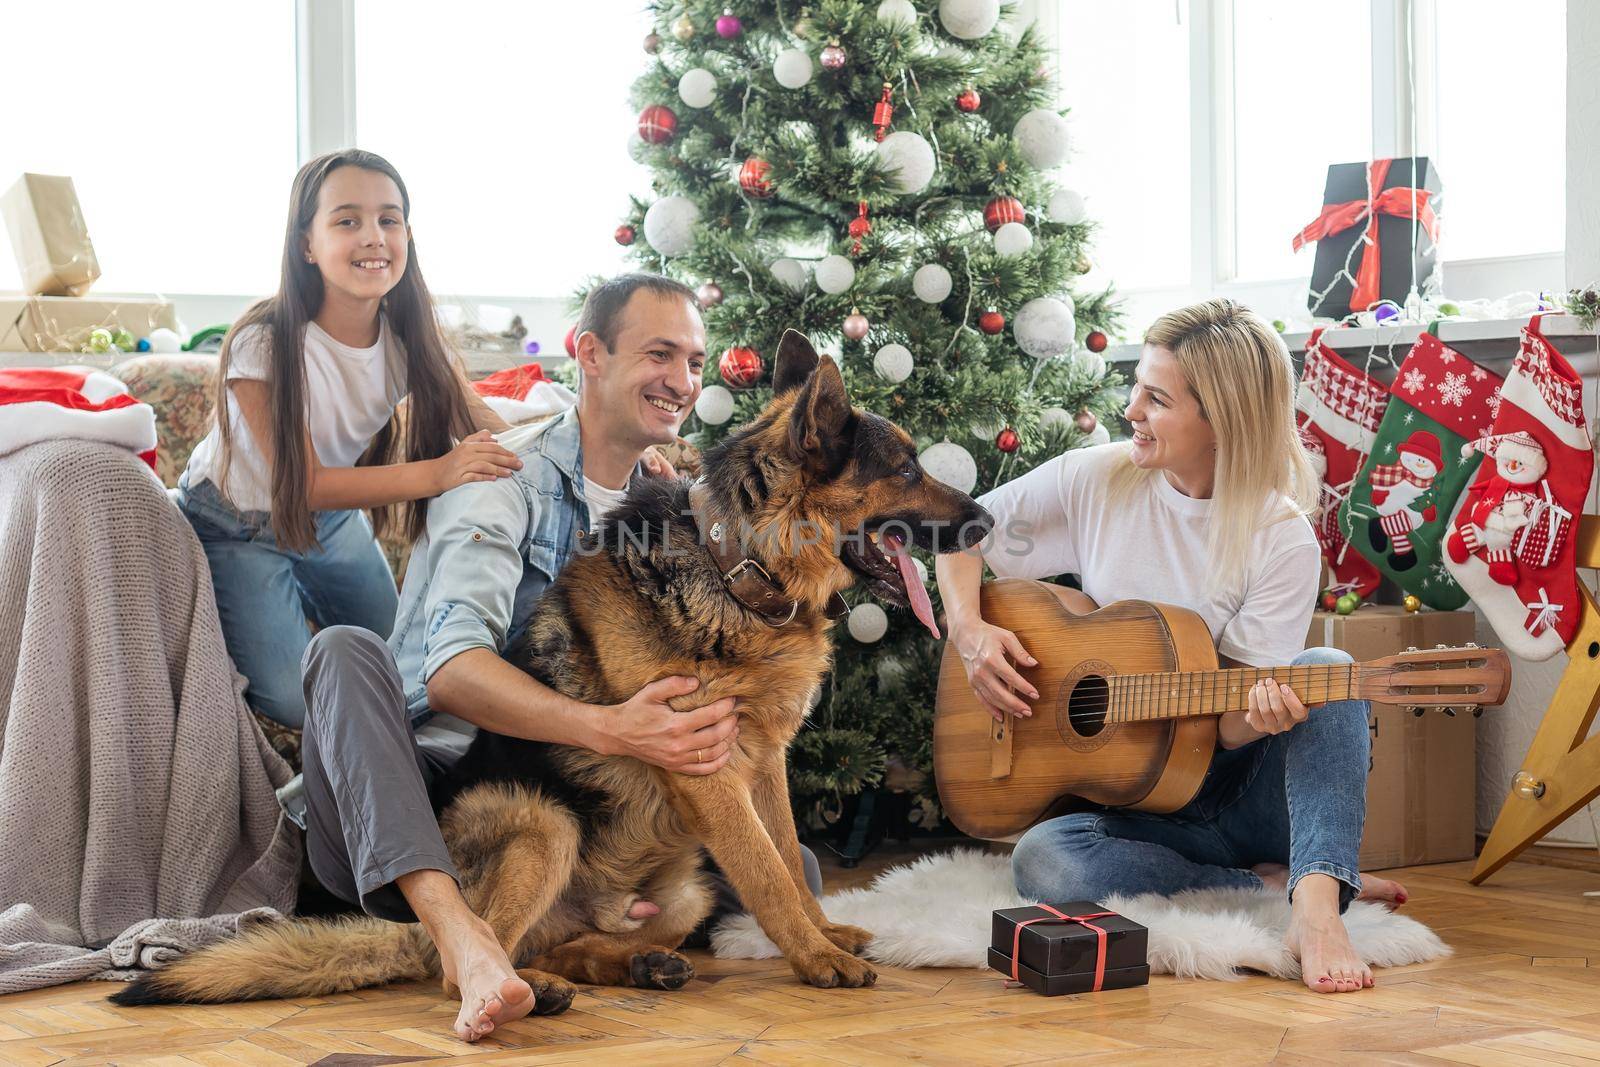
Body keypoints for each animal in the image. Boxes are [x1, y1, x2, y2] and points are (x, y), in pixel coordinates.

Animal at [109, 334, 985, 1017]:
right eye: (906, 469)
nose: (984, 522)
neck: (734, 565)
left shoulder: (762, 762)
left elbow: (790, 861)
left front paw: (823, 931)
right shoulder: (707, 771)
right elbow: (770, 871)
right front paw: (817, 955)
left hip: (687, 889)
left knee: (554, 940)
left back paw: (628, 964)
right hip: (545, 822)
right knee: (463, 956)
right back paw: (512, 987)